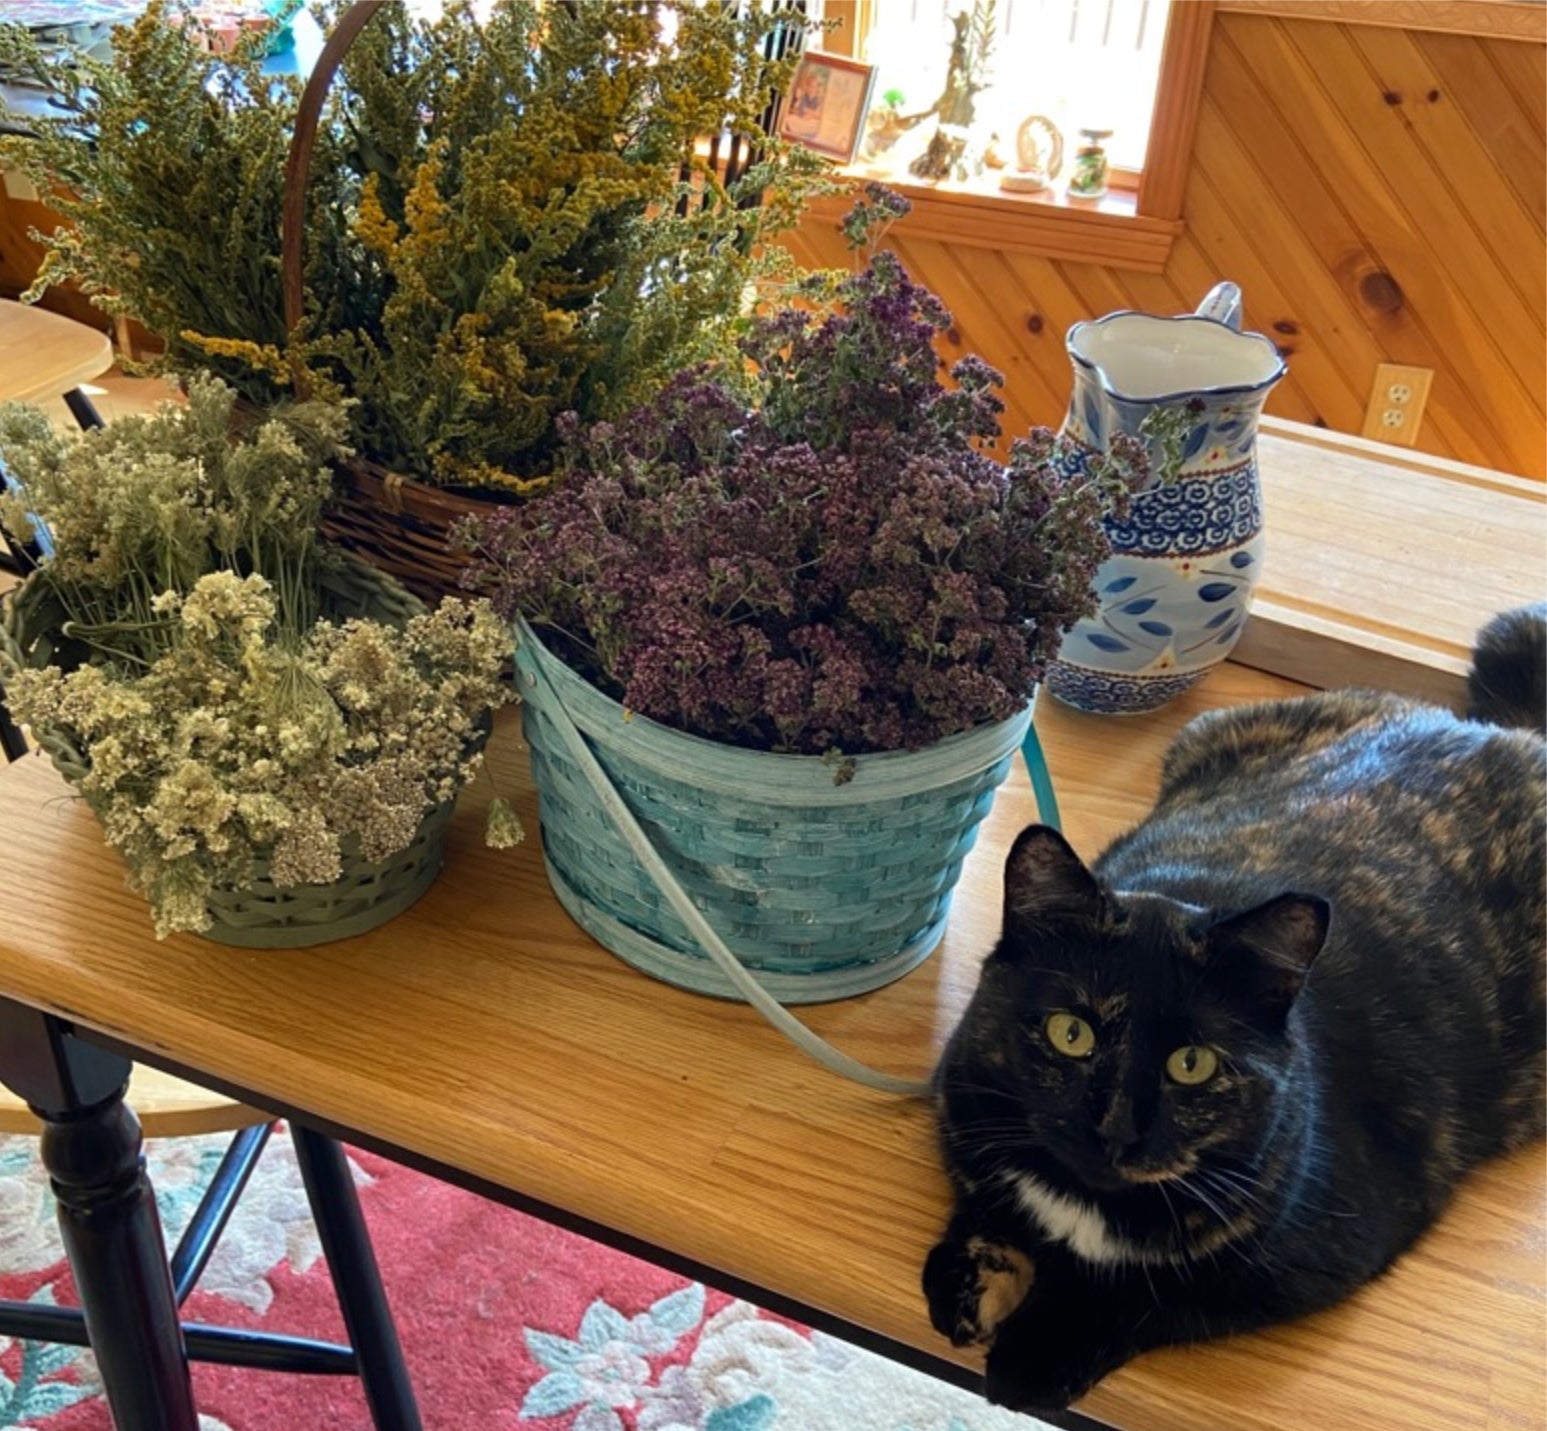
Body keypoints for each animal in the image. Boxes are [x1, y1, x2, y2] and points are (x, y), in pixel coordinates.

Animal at [922, 600, 1540, 1404]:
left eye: (1192, 1063)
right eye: (1070, 1032)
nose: (1115, 1126)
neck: (1089, 1207)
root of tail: (1491, 729)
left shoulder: (1299, 1260)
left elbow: (1149, 1294)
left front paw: (1037, 1352)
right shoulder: (961, 1107)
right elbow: (987, 1199)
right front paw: (963, 1283)